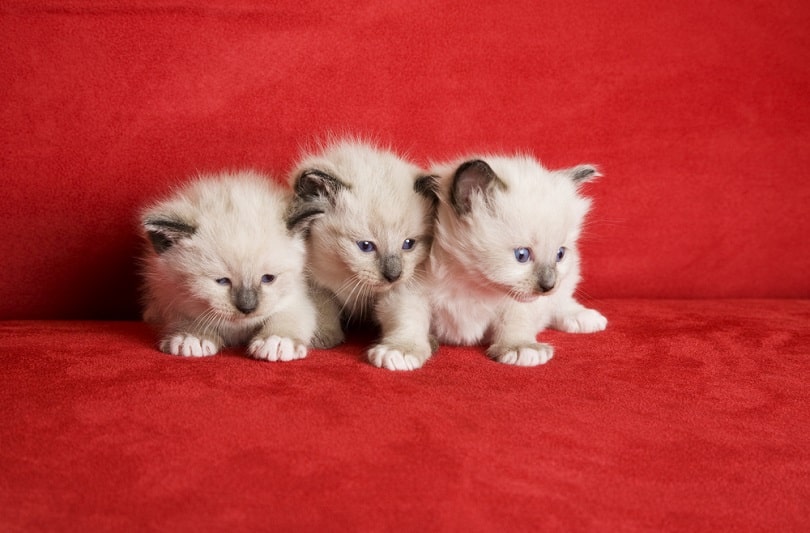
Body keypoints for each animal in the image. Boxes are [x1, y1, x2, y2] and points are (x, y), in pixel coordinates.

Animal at [139, 170, 316, 362]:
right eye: (222, 281)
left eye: (268, 278)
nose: (247, 308)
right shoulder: (171, 295)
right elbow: (187, 317)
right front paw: (192, 337)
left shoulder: (295, 295)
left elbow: (289, 315)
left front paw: (277, 340)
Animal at [284, 138, 436, 370]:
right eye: (365, 246)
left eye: (408, 244)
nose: (393, 275)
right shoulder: (314, 282)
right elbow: (322, 307)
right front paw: (322, 337)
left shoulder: (402, 288)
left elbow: (405, 317)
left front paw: (400, 351)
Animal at [430, 155, 608, 366]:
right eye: (522, 255)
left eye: (559, 254)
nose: (548, 286)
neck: (472, 283)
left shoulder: (519, 303)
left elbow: (515, 320)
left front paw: (519, 346)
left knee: (560, 301)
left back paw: (582, 317)